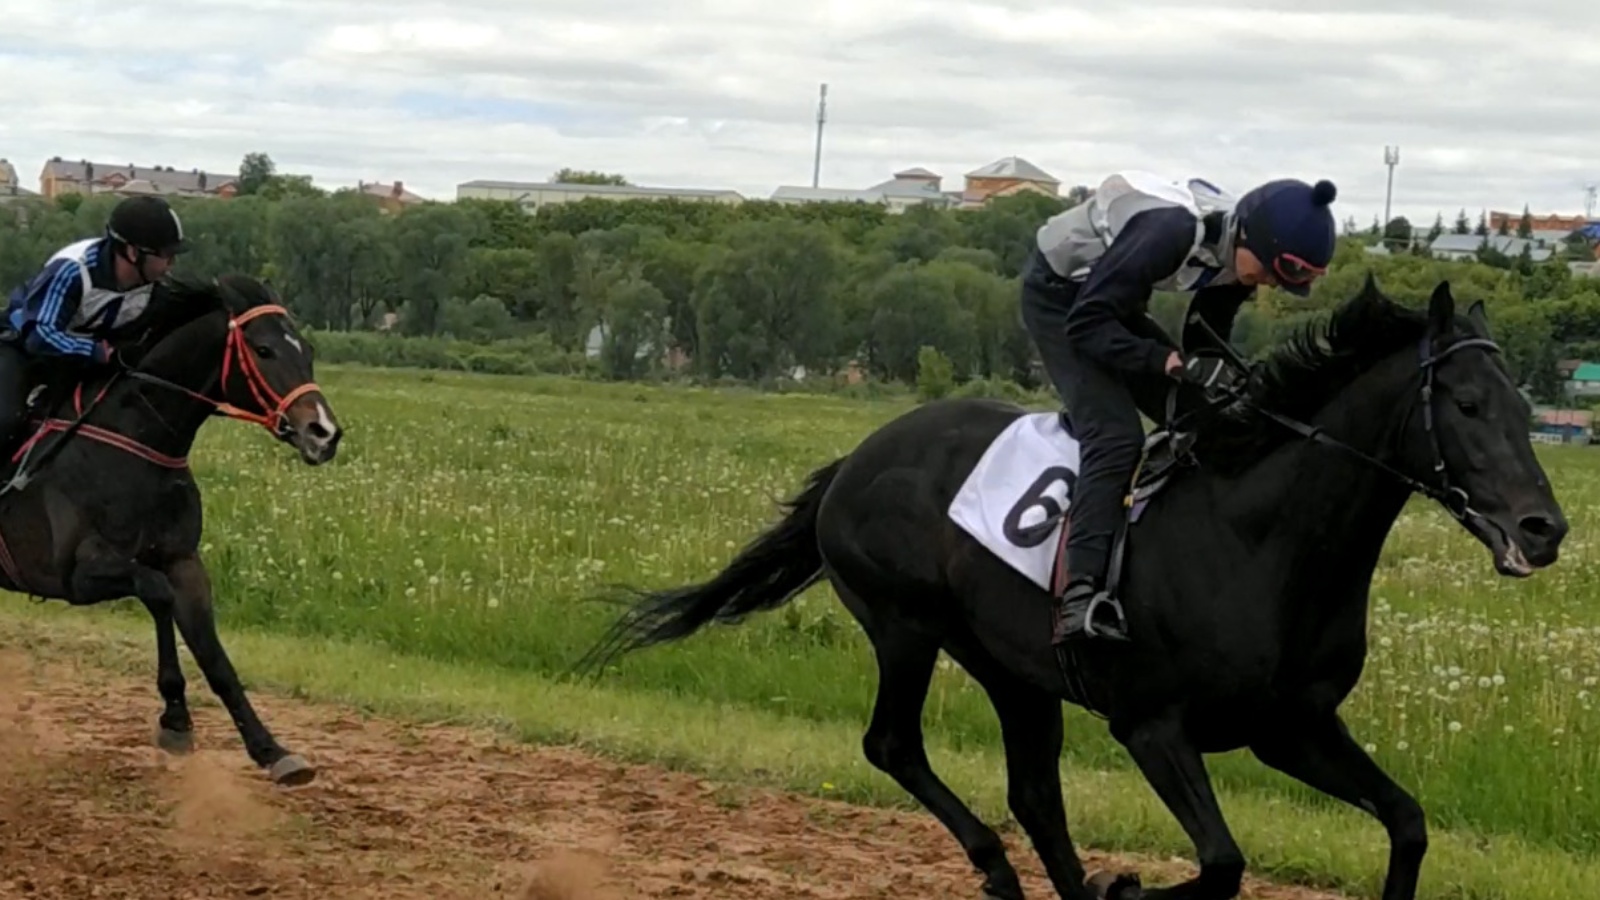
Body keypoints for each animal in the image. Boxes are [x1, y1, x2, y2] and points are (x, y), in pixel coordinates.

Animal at [0, 272, 344, 784]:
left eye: (307, 349)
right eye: (263, 350)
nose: (323, 433)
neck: (140, 440)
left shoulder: (183, 560)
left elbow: (212, 654)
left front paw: (271, 750)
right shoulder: (73, 574)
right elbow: (157, 593)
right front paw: (176, 716)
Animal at [576, 277, 1561, 890]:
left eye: (1526, 410)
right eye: (1467, 405)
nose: (1544, 528)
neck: (1262, 540)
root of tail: (858, 457)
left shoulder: (1292, 728)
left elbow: (1408, 823)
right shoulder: (1154, 726)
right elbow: (1221, 864)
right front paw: (1127, 889)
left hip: (1013, 670)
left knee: (1034, 797)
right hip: (904, 626)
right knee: (895, 748)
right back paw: (999, 869)